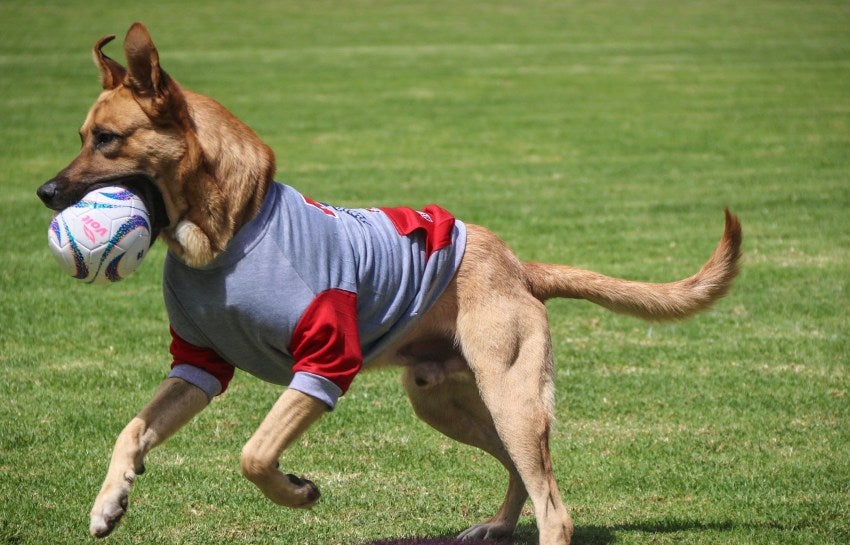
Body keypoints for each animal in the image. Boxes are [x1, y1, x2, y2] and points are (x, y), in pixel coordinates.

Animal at [36, 22, 740, 544]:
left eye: (108, 139)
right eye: (80, 136)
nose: (44, 191)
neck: (230, 232)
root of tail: (517, 265)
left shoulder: (324, 364)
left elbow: (255, 453)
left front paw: (298, 491)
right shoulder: (198, 364)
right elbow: (134, 428)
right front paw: (110, 501)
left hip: (511, 395)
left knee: (555, 507)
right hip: (445, 398)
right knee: (524, 474)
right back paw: (496, 524)